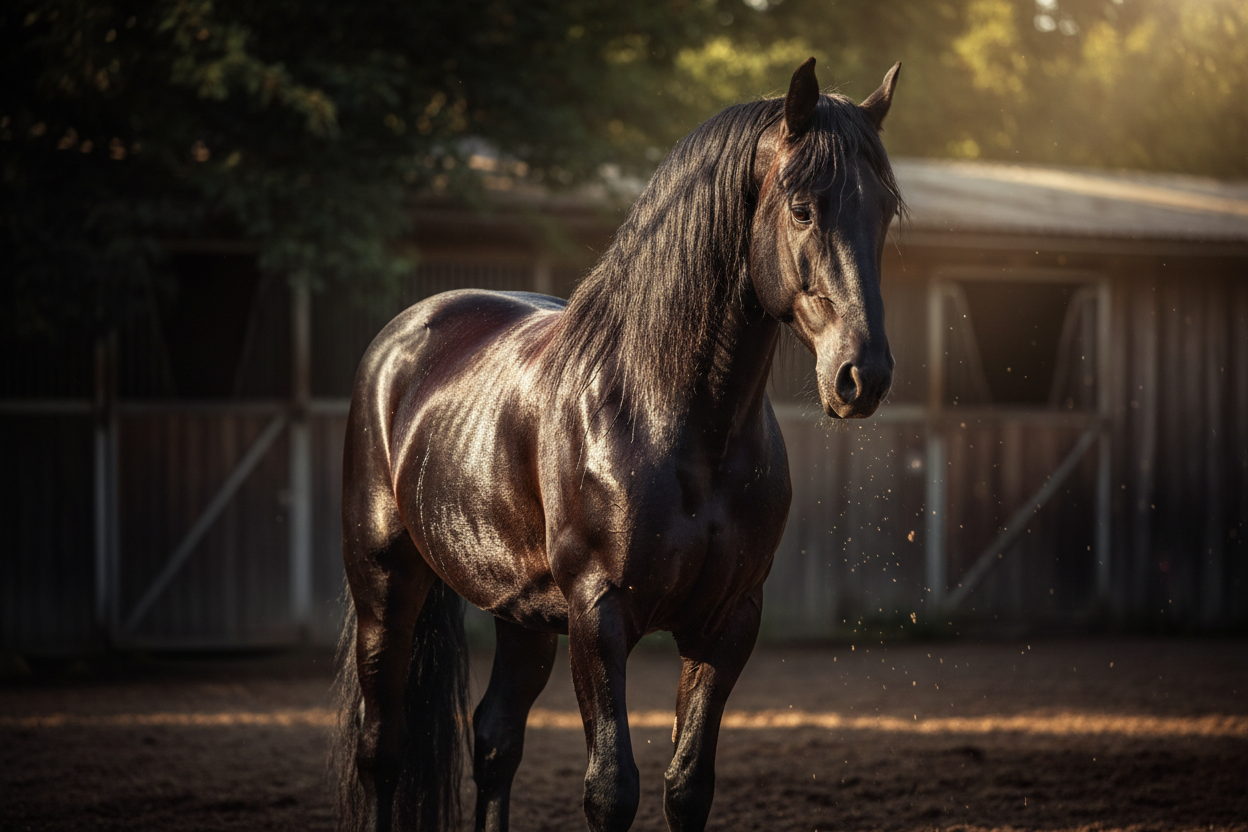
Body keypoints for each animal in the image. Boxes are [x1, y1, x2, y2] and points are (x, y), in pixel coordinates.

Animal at [332, 57, 903, 832]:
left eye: (885, 212)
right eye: (803, 207)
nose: (862, 375)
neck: (668, 418)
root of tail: (403, 336)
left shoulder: (728, 622)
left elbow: (687, 786)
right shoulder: (599, 617)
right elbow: (611, 789)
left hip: (521, 614)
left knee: (494, 740)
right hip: (387, 587)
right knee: (383, 749)